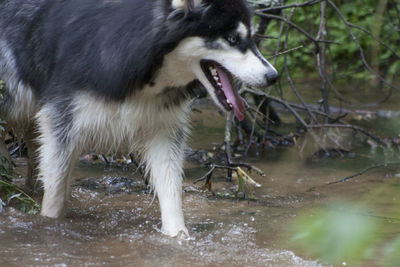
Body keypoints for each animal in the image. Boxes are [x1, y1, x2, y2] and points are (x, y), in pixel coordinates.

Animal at [0, 0, 278, 239]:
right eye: (232, 38)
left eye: (250, 38)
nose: (273, 76)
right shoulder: (61, 122)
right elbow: (55, 201)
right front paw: (48, 227)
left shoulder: (163, 132)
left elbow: (171, 198)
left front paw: (178, 238)